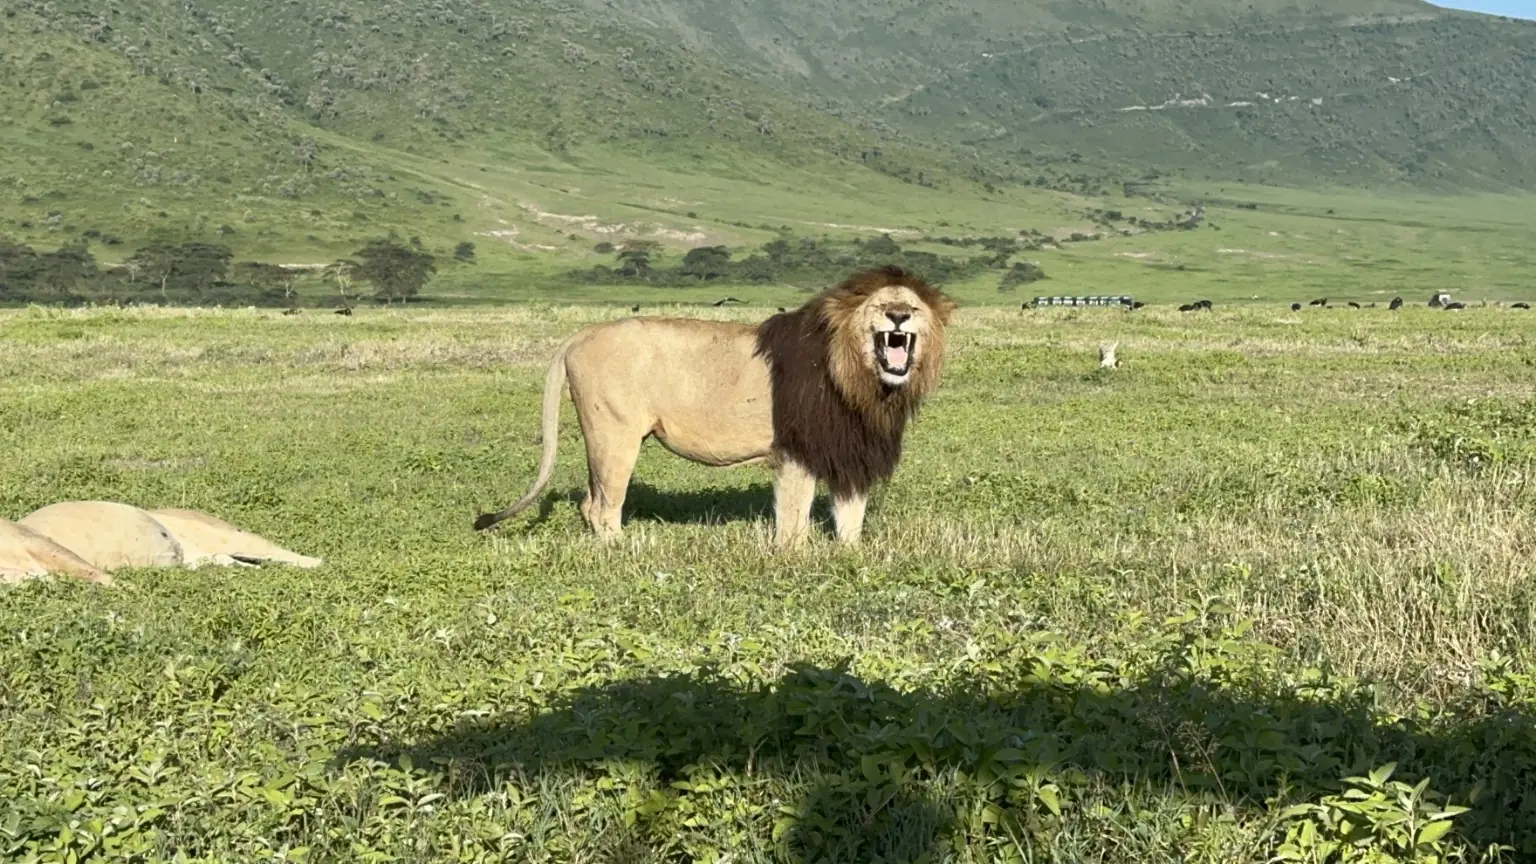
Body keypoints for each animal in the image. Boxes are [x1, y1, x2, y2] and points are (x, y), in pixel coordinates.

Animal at [474, 265, 956, 546]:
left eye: (912, 307)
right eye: (880, 305)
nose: (898, 316)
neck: (867, 384)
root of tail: (578, 335)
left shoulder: (850, 450)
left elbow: (850, 514)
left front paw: (851, 556)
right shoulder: (795, 451)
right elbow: (794, 516)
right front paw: (795, 559)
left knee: (588, 503)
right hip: (614, 436)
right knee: (603, 505)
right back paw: (622, 552)